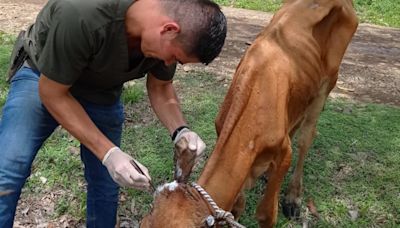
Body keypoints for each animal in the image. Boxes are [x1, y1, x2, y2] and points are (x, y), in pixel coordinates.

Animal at [142, 0, 358, 226]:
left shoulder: (284, 153)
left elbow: (265, 214)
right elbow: (237, 204)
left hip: (327, 84)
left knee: (306, 138)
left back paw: (293, 197)